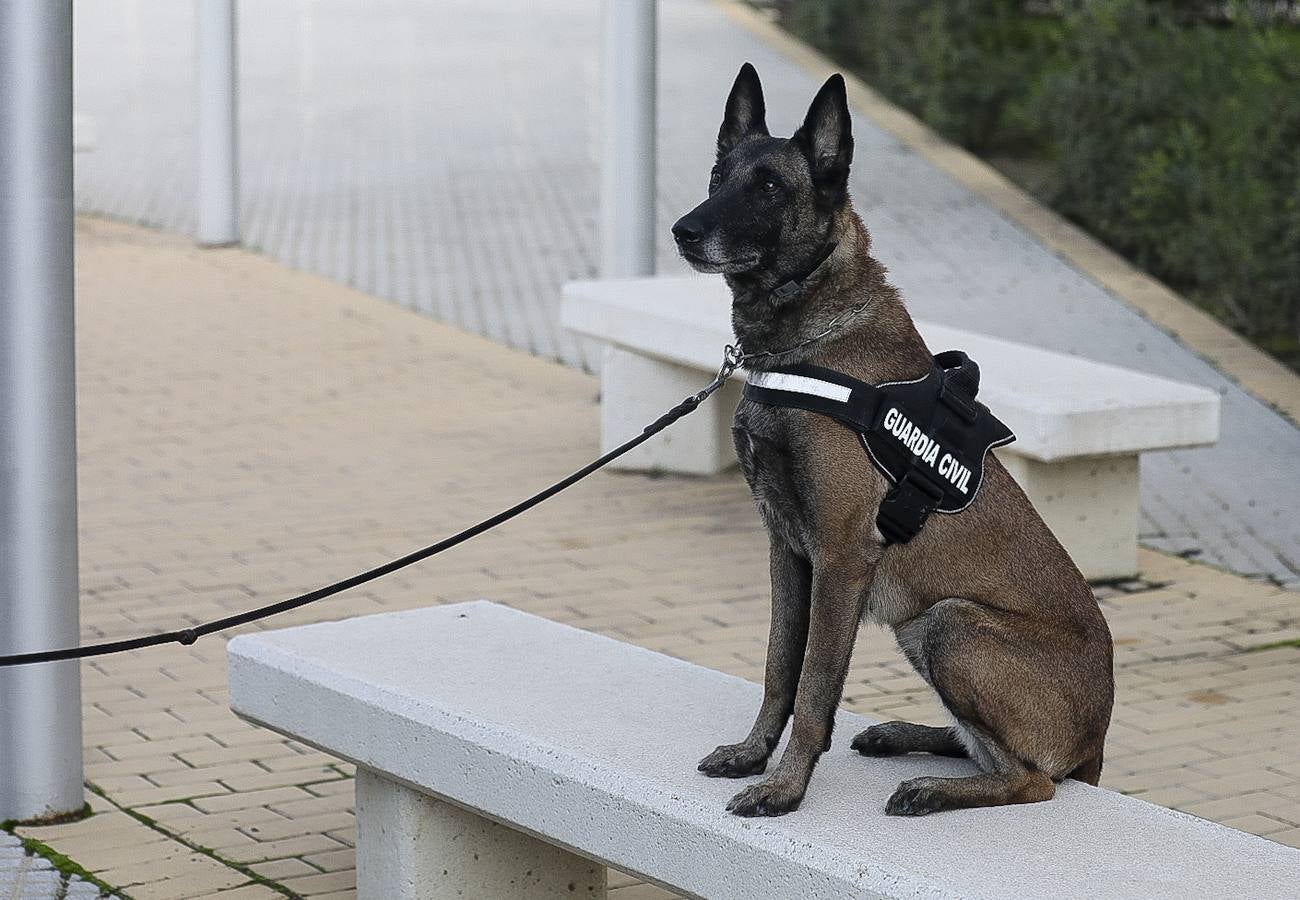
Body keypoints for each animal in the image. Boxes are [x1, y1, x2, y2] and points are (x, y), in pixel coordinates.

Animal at [676, 66, 1112, 816]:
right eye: (717, 176)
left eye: (768, 187)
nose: (684, 230)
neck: (807, 338)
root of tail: (1099, 737)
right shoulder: (787, 550)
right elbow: (777, 669)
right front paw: (753, 755)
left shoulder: (840, 558)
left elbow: (815, 686)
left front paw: (785, 788)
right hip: (922, 626)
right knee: (979, 744)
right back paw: (907, 738)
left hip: (950, 621)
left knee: (1032, 779)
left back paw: (934, 788)